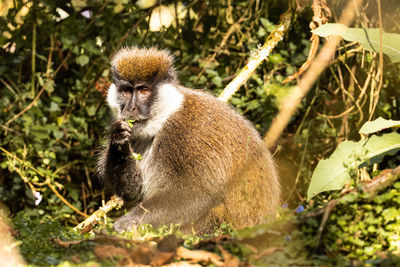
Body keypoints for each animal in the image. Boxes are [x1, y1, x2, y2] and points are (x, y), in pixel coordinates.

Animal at [96, 46, 282, 234]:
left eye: (143, 91)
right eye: (126, 91)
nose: (130, 108)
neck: (166, 115)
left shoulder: (188, 132)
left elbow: (198, 193)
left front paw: (125, 224)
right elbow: (133, 190)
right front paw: (118, 139)